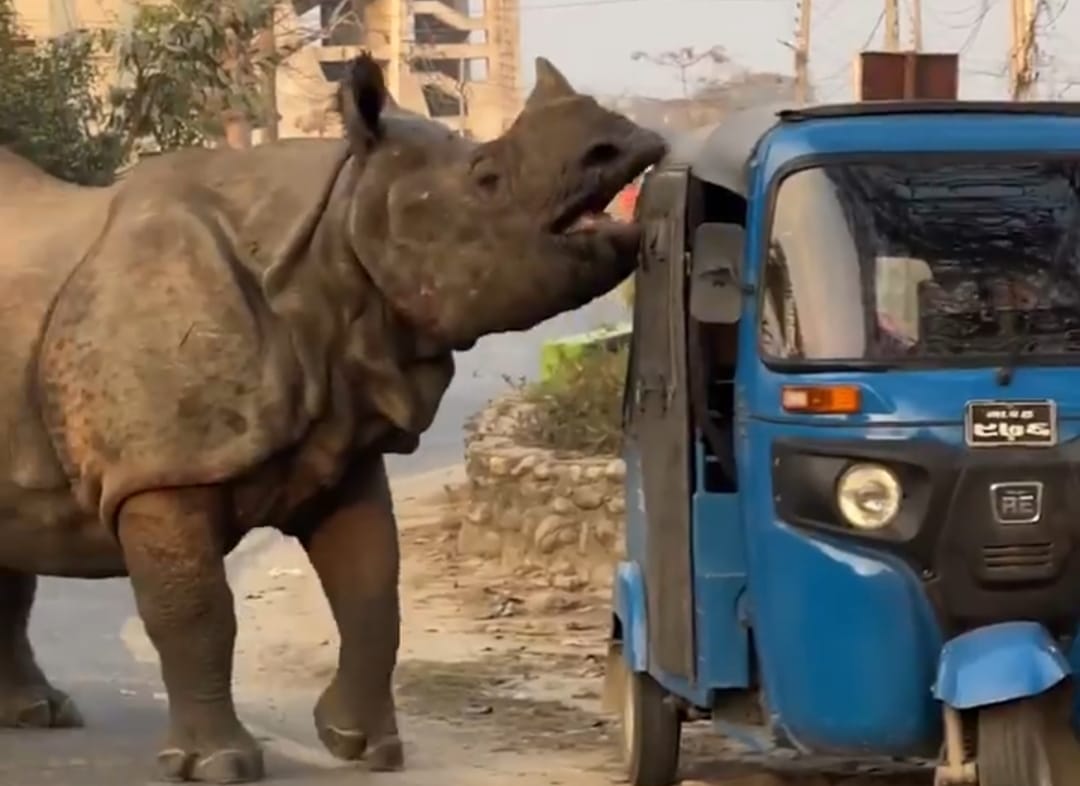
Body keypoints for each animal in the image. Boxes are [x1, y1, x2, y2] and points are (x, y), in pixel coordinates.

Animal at [0, 53, 665, 782]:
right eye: (486, 178)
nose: (621, 144)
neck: (329, 233)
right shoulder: (163, 470)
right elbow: (198, 612)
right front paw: (221, 764)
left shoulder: (341, 436)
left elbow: (371, 586)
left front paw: (361, 746)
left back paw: (38, 714)